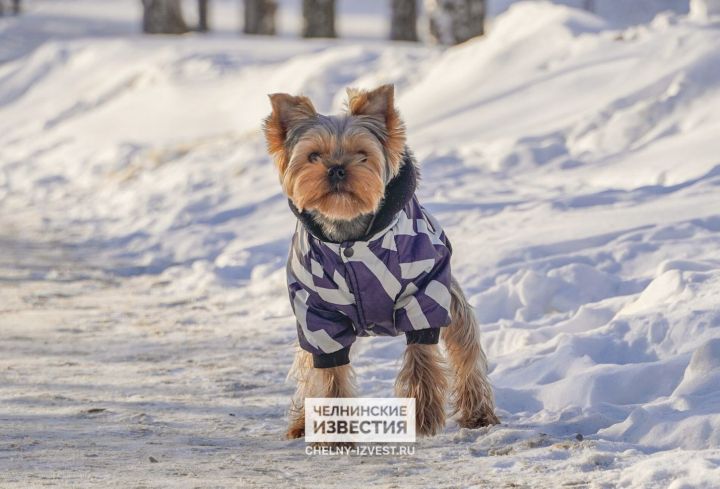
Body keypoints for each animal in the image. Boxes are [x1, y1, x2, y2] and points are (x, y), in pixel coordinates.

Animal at [264, 85, 500, 438]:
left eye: (362, 154)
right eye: (313, 156)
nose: (336, 168)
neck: (350, 237)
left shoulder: (424, 294)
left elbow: (421, 357)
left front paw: (423, 415)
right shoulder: (316, 316)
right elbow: (329, 374)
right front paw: (335, 433)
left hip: (448, 296)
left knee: (465, 346)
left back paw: (478, 413)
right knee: (307, 371)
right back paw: (301, 424)